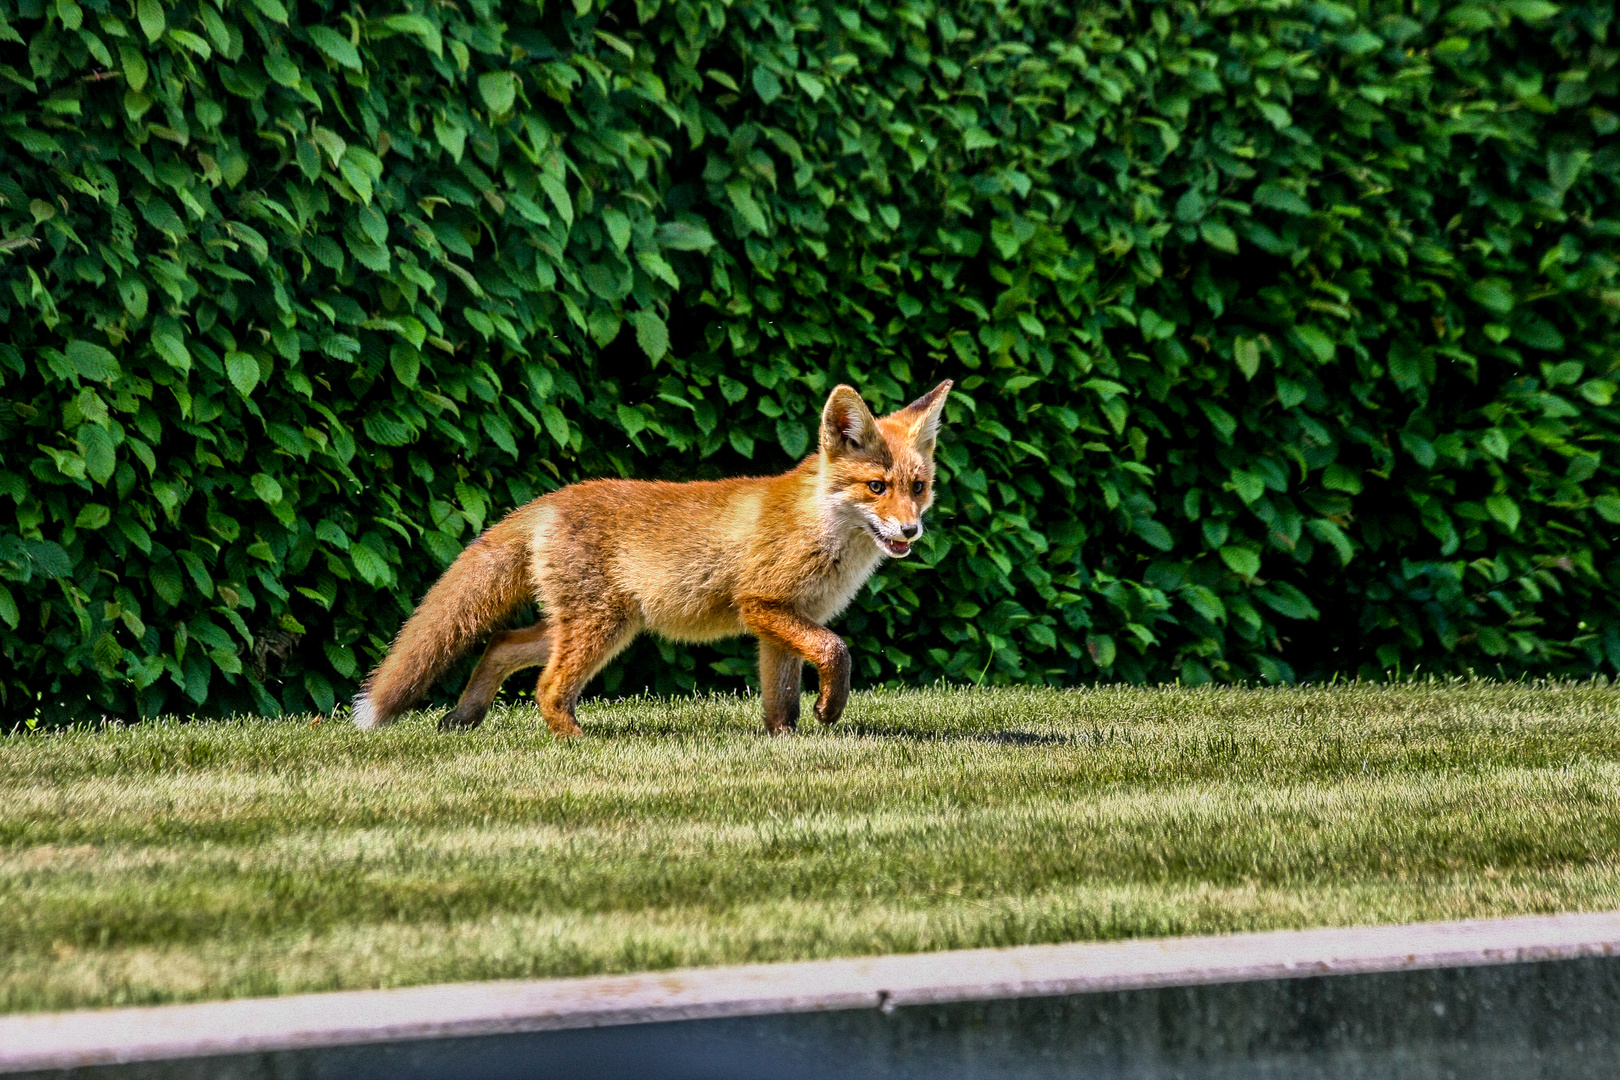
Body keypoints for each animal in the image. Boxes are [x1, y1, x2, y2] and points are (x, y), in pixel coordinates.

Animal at [354, 378, 946, 735]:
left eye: (917, 487)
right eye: (876, 487)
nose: (911, 530)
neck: (821, 530)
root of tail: (551, 499)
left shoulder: (784, 623)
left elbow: (782, 702)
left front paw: (786, 743)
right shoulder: (763, 606)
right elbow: (836, 652)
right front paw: (831, 708)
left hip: (591, 625)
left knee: (500, 645)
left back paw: (463, 718)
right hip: (601, 627)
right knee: (546, 688)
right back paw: (575, 742)